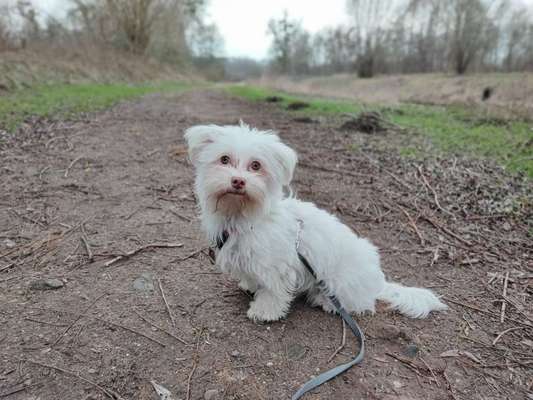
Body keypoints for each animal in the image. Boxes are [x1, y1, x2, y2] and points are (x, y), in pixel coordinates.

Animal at [185, 122, 446, 322]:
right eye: (224, 159)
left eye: (256, 165)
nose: (238, 181)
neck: (243, 215)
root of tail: (378, 282)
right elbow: (252, 277)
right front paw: (249, 285)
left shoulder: (278, 267)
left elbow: (273, 292)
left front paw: (264, 311)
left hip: (340, 281)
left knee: (358, 303)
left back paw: (326, 301)